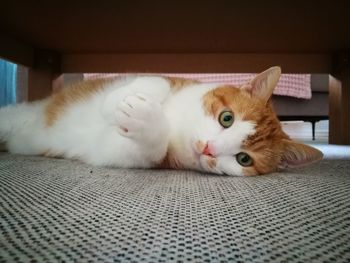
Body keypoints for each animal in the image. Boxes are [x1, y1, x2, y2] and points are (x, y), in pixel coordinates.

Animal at [0, 67, 322, 176]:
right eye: (227, 118)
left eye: (244, 159)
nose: (208, 148)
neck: (178, 125)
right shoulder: (168, 81)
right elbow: (156, 80)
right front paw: (116, 101)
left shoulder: (126, 154)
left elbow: (141, 148)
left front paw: (144, 120)